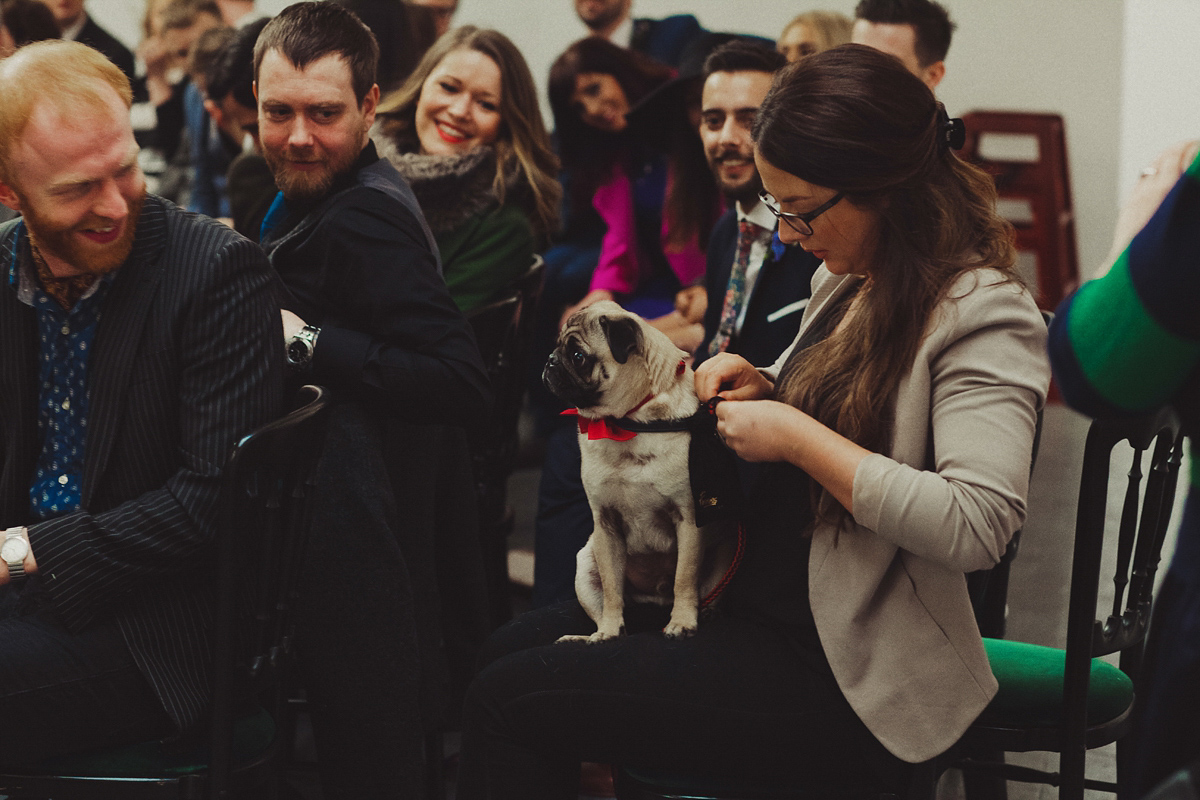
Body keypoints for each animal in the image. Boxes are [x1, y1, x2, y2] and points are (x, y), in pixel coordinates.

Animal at [547, 302, 734, 642]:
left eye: (578, 356)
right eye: (556, 347)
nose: (551, 360)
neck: (627, 424)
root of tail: (655, 597)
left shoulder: (689, 519)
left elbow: (685, 577)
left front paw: (682, 622)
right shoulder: (605, 525)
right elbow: (612, 590)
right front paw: (609, 630)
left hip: (724, 552)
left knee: (702, 591)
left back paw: (706, 613)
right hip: (585, 565)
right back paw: (592, 637)